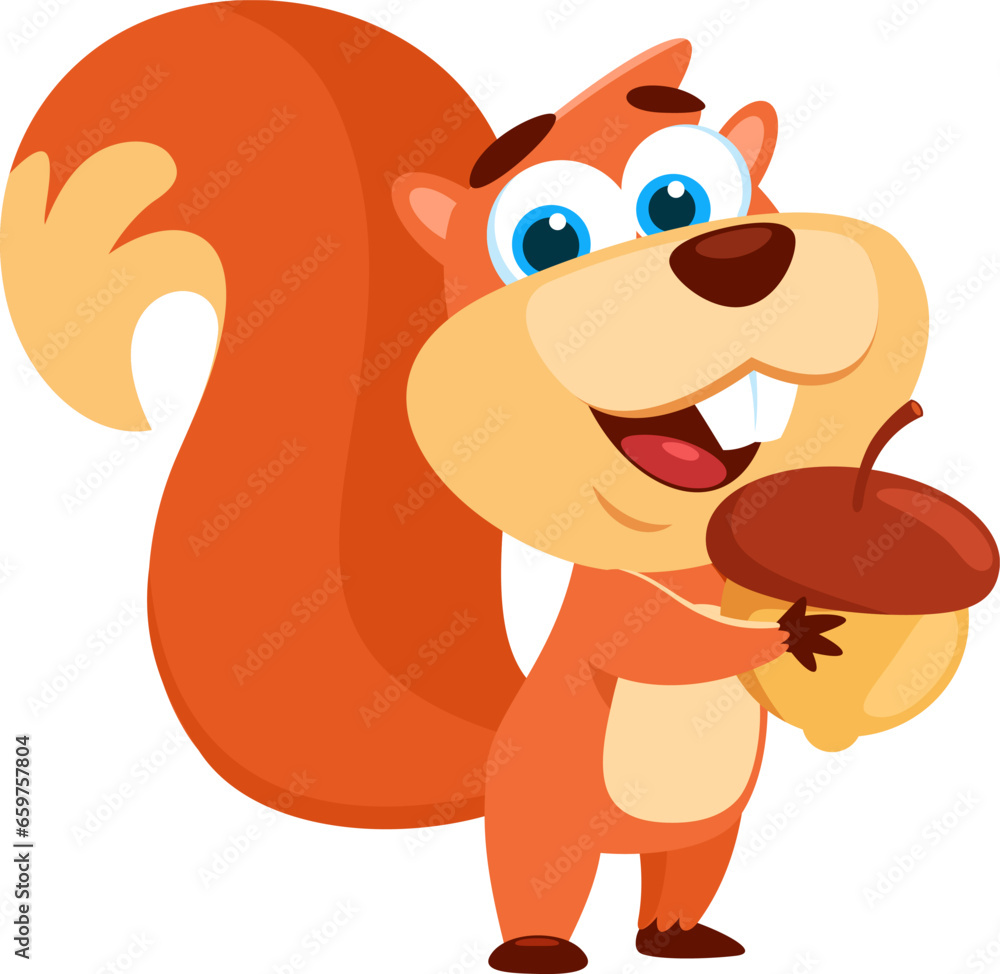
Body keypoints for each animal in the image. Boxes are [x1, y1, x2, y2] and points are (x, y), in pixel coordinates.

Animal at [1, 3, 933, 971]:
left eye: (681, 199)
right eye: (549, 239)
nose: (736, 255)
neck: (691, 562)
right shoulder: (613, 614)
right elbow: (667, 646)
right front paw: (783, 634)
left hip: (707, 831)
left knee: (680, 877)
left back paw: (681, 936)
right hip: (547, 821)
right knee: (538, 881)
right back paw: (539, 948)